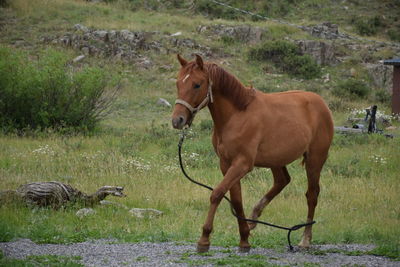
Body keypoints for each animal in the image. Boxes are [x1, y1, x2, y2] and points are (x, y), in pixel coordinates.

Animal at [170, 54, 332, 253]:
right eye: (178, 83)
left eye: (197, 85)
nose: (177, 120)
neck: (237, 115)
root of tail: (321, 103)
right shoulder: (227, 164)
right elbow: (236, 200)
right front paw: (244, 240)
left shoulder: (243, 164)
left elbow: (217, 193)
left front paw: (204, 239)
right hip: (276, 160)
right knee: (282, 181)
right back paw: (254, 218)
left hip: (315, 160)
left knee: (312, 195)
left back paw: (305, 239)